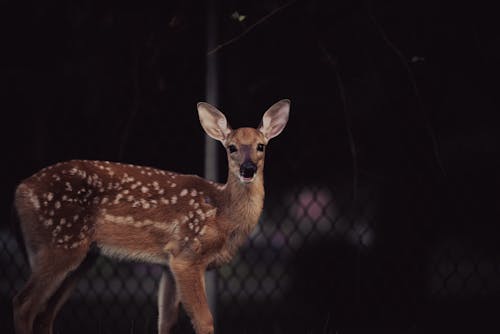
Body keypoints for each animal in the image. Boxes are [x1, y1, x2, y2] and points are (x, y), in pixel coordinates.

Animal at [12, 99, 290, 334]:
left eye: (261, 146)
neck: (222, 212)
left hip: (81, 256)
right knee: (24, 304)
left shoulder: (169, 262)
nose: (248, 169)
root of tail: (21, 190)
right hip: (60, 241)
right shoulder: (187, 254)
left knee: (45, 313)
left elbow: (166, 320)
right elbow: (204, 320)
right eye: (232, 147)